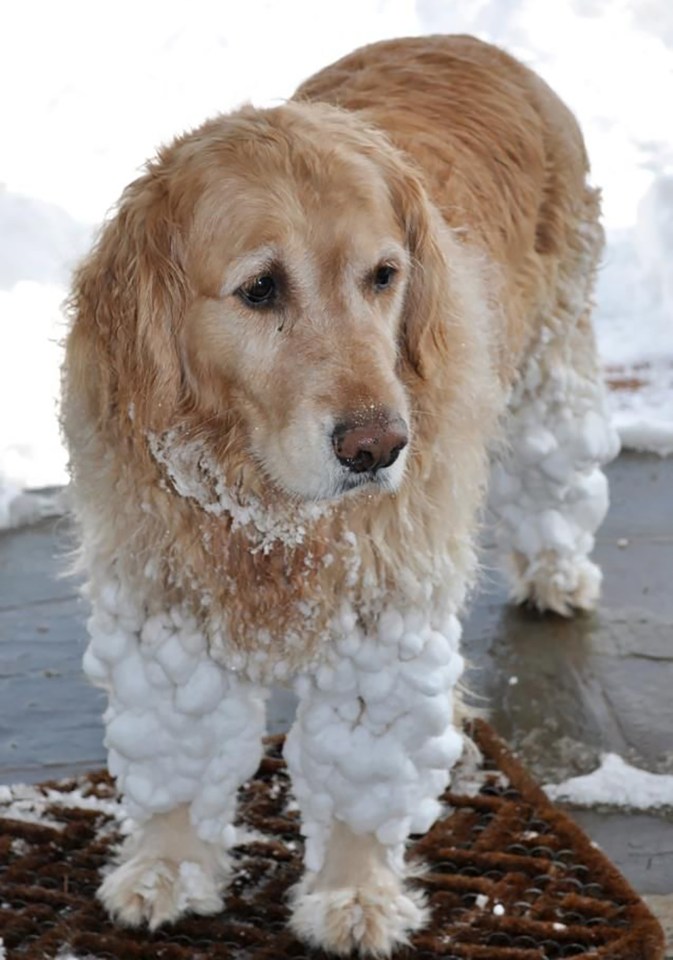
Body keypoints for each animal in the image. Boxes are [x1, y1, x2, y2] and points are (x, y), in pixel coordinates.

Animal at [63, 33, 620, 956]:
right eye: (259, 288)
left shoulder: (382, 600)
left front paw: (356, 896)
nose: (378, 446)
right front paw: (168, 867)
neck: (263, 505)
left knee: (556, 464)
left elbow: (363, 765)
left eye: (383, 276)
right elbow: (180, 749)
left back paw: (556, 572)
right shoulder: (165, 593)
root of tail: (467, 39)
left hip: (554, 354)